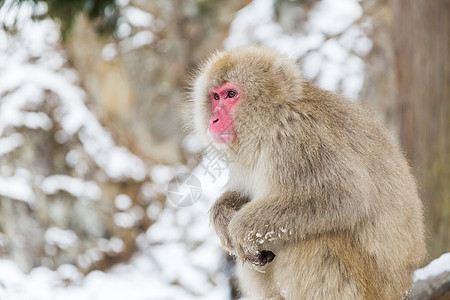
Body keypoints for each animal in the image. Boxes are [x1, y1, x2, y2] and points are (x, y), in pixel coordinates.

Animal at [185, 45, 428, 298]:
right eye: (215, 97)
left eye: (231, 94)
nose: (214, 119)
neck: (271, 119)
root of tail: (403, 286)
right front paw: (222, 214)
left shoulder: (300, 136)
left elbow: (345, 195)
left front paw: (239, 229)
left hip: (374, 286)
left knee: (320, 240)